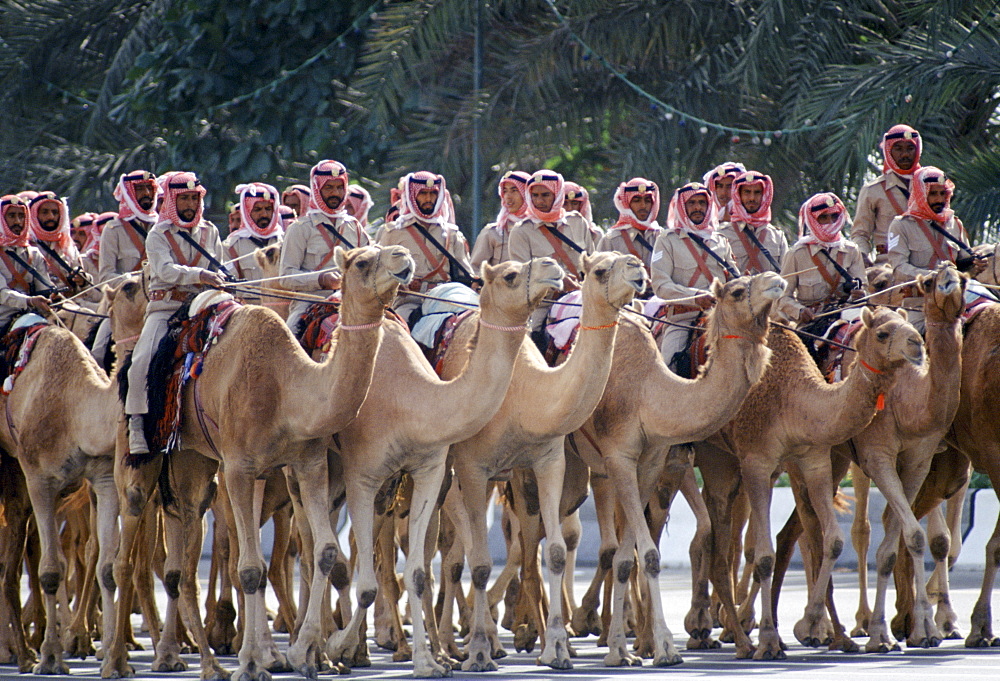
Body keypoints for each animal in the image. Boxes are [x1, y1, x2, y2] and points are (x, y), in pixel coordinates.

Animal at [326, 254, 568, 676]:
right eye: (510, 275)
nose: (553, 267)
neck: (409, 400)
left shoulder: (431, 471)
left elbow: (420, 571)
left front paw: (429, 662)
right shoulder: (363, 476)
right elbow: (370, 579)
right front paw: (339, 647)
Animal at [434, 251, 644, 668]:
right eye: (600, 269)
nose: (637, 266)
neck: (522, 392)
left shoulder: (546, 461)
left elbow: (557, 552)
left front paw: (558, 647)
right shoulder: (473, 467)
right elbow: (481, 561)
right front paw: (480, 652)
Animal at [572, 270, 788, 664]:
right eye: (737, 291)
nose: (776, 279)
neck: (648, 393)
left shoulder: (653, 463)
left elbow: (632, 556)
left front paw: (625, 650)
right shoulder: (619, 458)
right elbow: (646, 552)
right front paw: (661, 648)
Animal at [696, 306, 920, 660]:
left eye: (910, 325)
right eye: (883, 333)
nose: (918, 344)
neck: (794, 398)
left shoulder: (814, 460)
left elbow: (832, 541)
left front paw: (822, 629)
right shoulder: (757, 462)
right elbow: (764, 556)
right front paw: (771, 641)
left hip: (728, 464)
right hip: (710, 458)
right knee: (716, 550)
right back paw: (737, 640)